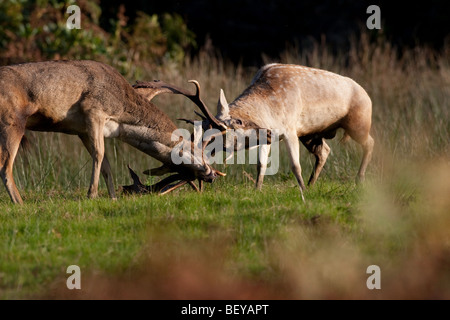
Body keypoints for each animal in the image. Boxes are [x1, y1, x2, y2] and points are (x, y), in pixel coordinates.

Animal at [0, 60, 224, 204]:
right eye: (197, 151)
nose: (212, 176)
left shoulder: (81, 130)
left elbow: (106, 164)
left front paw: (113, 197)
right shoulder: (93, 111)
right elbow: (99, 155)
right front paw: (91, 194)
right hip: (12, 121)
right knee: (5, 167)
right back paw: (20, 204)